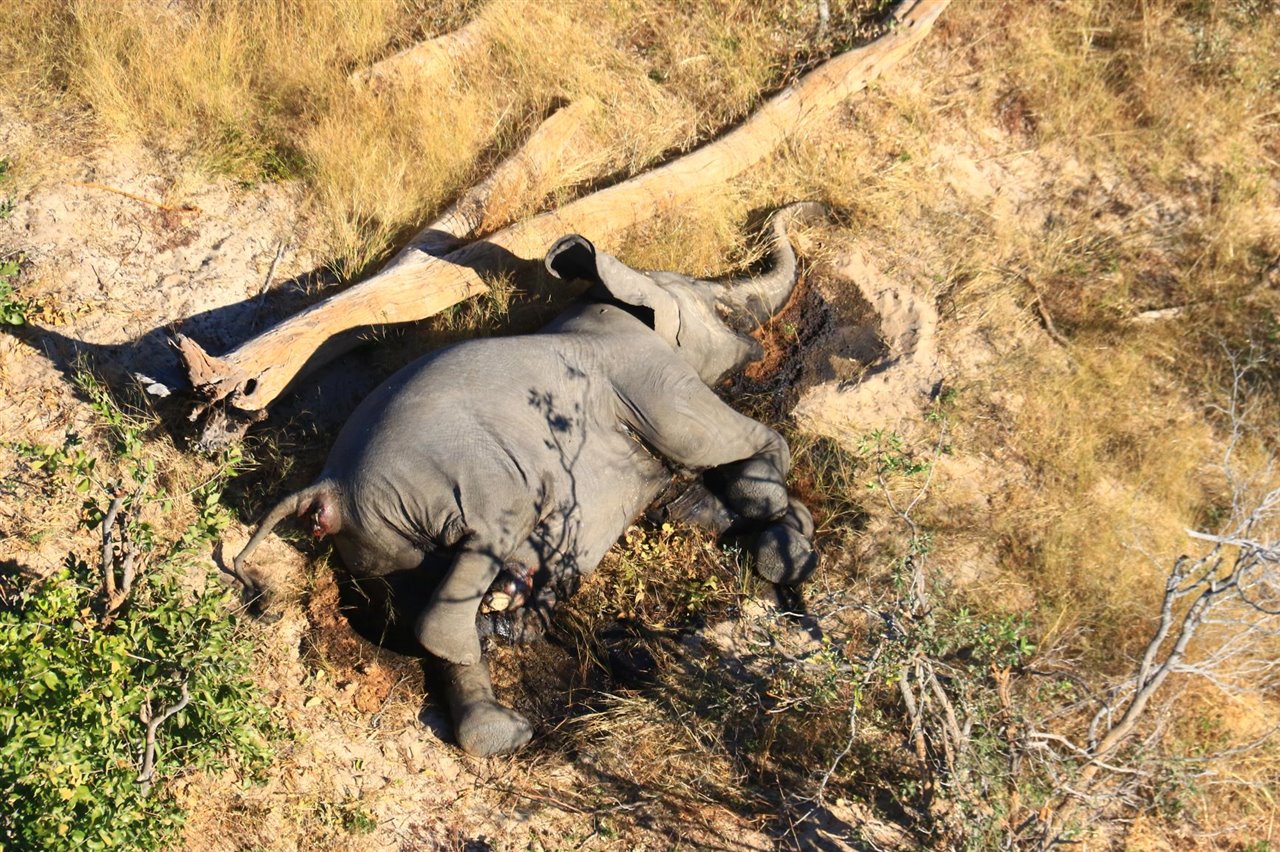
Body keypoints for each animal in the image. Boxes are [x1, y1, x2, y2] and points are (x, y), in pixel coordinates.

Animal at [235, 202, 824, 752]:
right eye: (723, 309)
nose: (808, 211)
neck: (614, 298)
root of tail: (327, 487)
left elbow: (688, 499)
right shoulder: (652, 378)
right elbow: (728, 443)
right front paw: (787, 544)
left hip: (382, 545)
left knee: (421, 592)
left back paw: (501, 719)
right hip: (450, 483)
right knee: (477, 555)